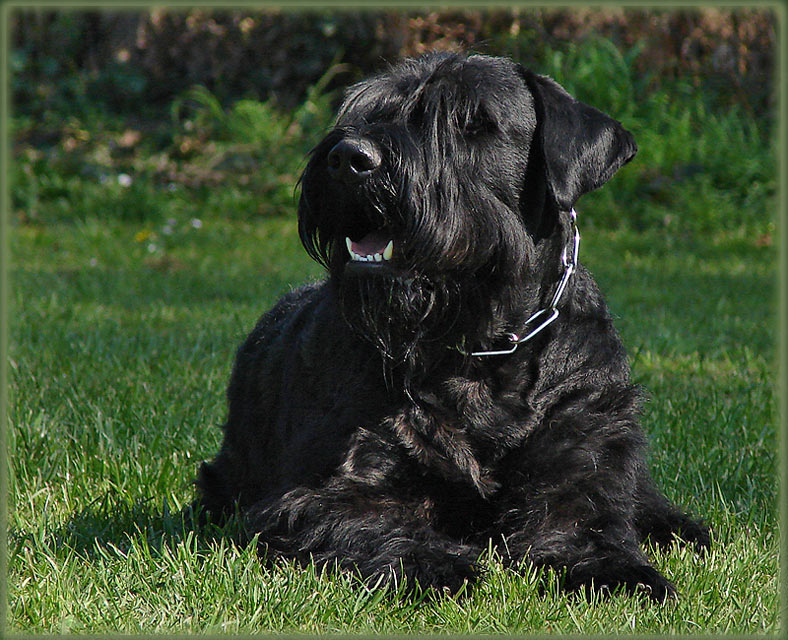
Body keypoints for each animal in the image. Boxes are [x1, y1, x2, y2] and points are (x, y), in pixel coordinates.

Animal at [197, 52, 708, 604]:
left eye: (472, 123)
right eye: (369, 111)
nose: (350, 158)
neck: (480, 350)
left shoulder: (581, 454)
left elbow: (582, 524)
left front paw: (621, 571)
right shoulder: (330, 485)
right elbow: (369, 522)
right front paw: (433, 562)